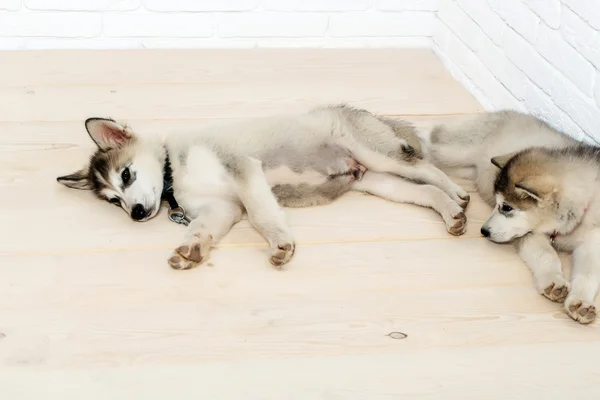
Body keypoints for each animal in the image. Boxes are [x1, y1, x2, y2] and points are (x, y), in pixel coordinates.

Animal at [57, 104, 468, 270]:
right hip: (376, 181)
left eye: (126, 176)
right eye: (114, 202)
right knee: (424, 191)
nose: (137, 214)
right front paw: (193, 249)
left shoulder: (243, 169)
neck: (176, 170)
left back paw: (458, 195)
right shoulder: (221, 208)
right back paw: (450, 213)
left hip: (377, 154)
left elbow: (260, 212)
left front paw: (280, 242)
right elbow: (202, 228)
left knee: (428, 169)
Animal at [426, 110, 600, 324]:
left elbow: (588, 272)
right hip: (454, 151)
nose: (483, 231)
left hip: (465, 168)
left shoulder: (593, 242)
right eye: (498, 203)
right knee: (433, 138)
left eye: (507, 207)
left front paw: (581, 302)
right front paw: (554, 280)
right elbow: (546, 254)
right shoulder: (529, 233)